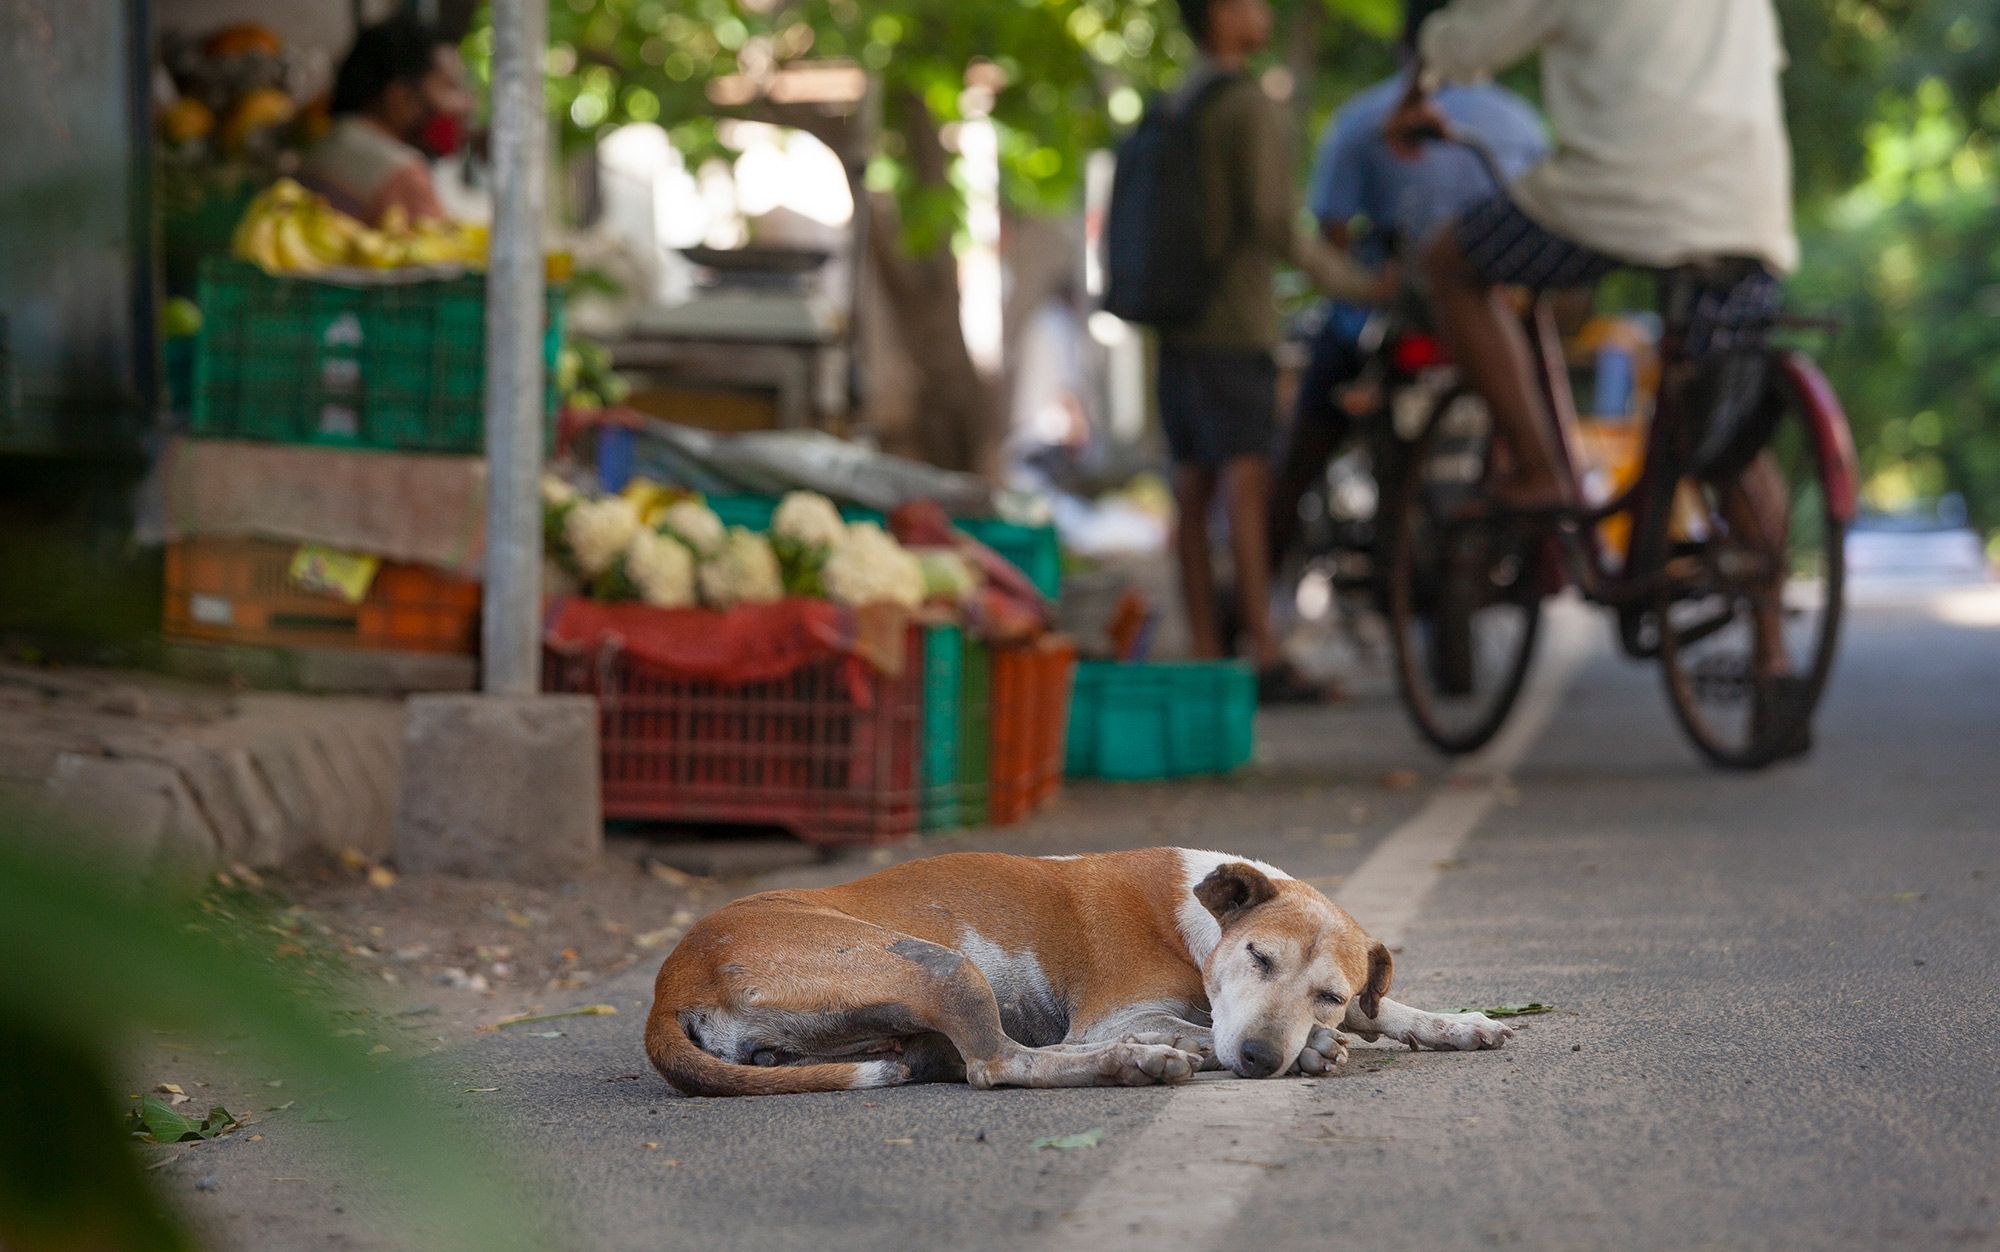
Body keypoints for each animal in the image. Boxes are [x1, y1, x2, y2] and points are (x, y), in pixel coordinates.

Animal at [648, 848, 1504, 1088]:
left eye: (1326, 991)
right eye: (1258, 956)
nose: (1262, 1058)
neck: (1193, 918)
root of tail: (671, 980)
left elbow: (1382, 1005)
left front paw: (1455, 1023)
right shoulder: (1111, 1013)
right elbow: (1185, 1025)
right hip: (941, 966)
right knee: (1000, 1064)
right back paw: (1139, 1061)